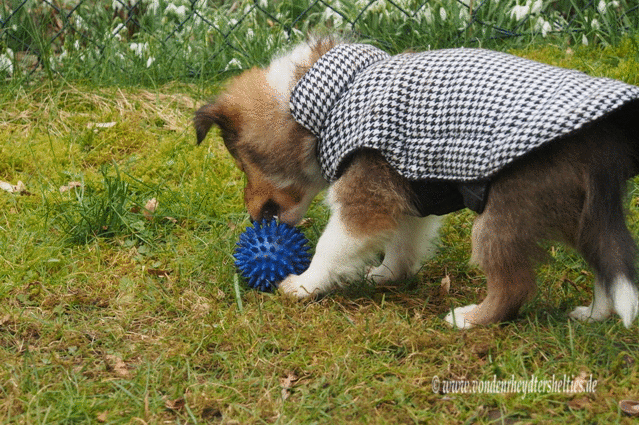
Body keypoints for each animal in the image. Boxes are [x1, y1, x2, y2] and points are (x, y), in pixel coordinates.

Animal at [194, 36, 639, 329]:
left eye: (242, 161)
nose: (254, 220)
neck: (335, 100)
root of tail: (599, 147)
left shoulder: (366, 197)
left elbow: (332, 246)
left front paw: (303, 285)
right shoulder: (409, 187)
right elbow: (405, 241)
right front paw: (388, 274)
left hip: (506, 212)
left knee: (516, 284)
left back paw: (471, 319)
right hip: (580, 211)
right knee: (606, 264)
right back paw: (595, 315)